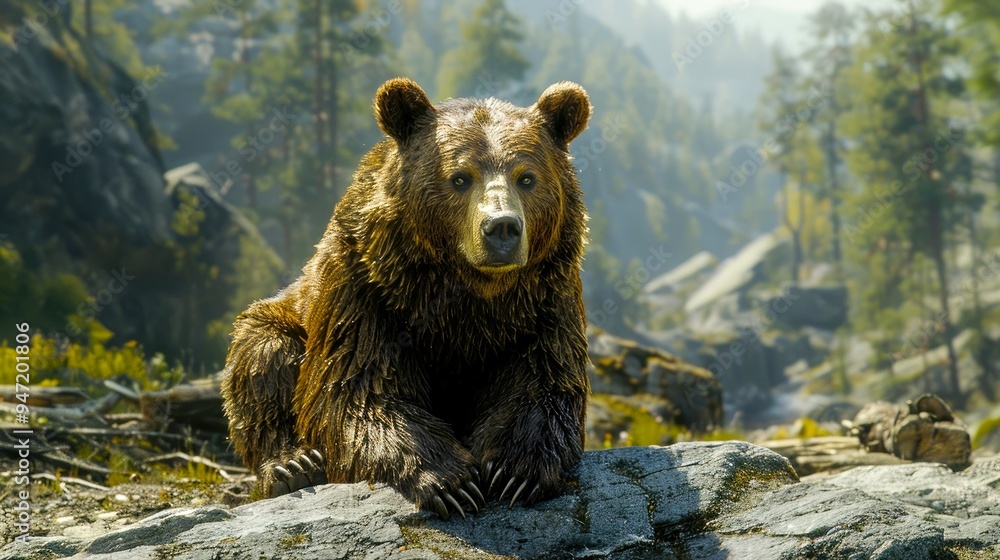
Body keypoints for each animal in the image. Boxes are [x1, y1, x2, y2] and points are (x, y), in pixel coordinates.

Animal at [221, 77, 592, 519]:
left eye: (527, 177)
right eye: (460, 177)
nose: (502, 228)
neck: (472, 290)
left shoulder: (545, 300)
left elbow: (543, 381)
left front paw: (515, 471)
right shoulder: (368, 292)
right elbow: (361, 389)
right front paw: (452, 481)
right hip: (284, 315)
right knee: (263, 362)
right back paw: (293, 465)